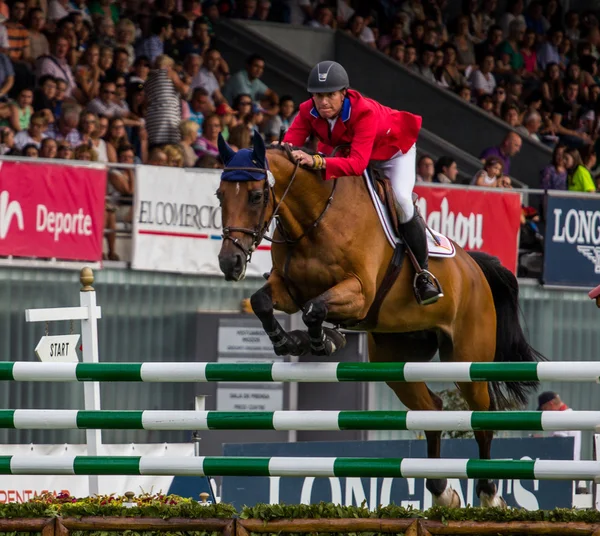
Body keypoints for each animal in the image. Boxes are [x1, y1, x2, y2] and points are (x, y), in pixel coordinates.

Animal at [218, 132, 548, 508]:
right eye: (220, 195)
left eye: (256, 196)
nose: (229, 262)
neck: (316, 219)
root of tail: (475, 267)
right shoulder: (288, 290)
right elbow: (263, 302)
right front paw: (290, 340)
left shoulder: (359, 293)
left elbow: (314, 309)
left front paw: (322, 340)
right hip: (397, 359)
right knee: (431, 409)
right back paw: (441, 491)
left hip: (467, 357)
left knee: (482, 415)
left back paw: (489, 494)